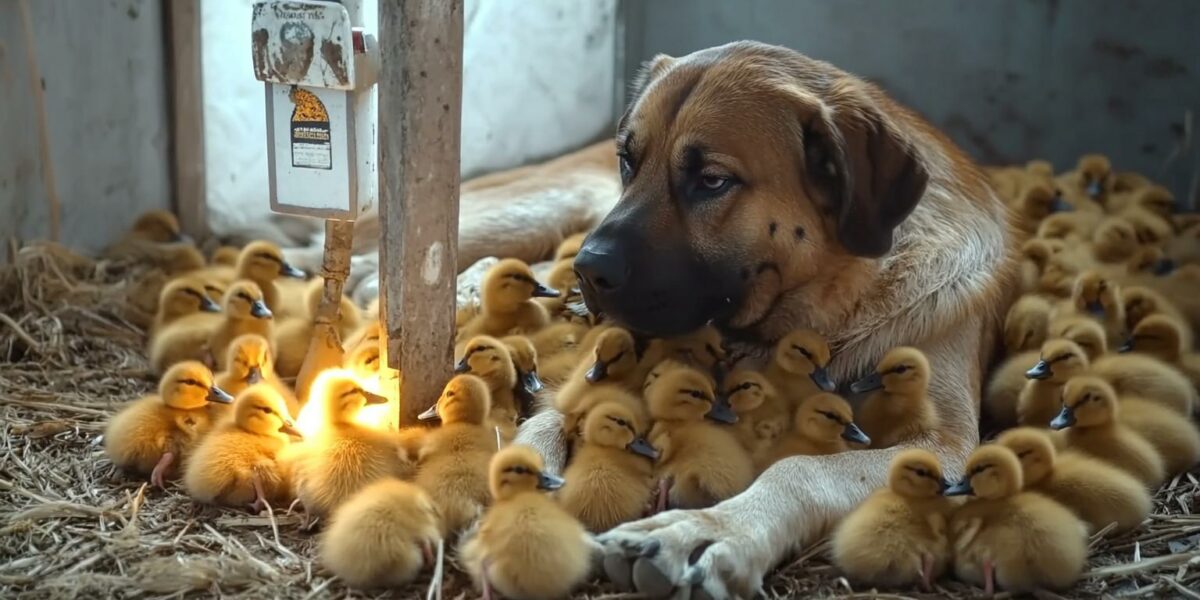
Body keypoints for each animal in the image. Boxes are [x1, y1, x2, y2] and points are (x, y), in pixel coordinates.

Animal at [511, 39, 1017, 597]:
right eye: (628, 161)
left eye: (712, 181)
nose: (588, 270)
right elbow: (552, 415)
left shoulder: (945, 448)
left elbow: (802, 470)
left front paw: (709, 530)